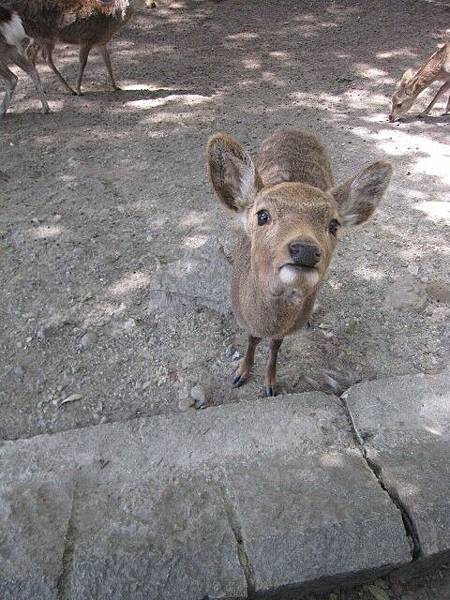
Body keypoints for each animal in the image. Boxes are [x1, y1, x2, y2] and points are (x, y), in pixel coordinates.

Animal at [3, 0, 148, 96]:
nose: (129, 5)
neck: (109, 21)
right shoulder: (86, 39)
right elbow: (83, 62)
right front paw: (79, 89)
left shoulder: (101, 43)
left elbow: (108, 62)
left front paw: (116, 86)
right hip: (46, 35)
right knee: (45, 57)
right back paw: (70, 90)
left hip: (38, 37)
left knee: (30, 52)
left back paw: (43, 88)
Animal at [208, 129, 394, 396]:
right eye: (262, 215)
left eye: (334, 224)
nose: (305, 250)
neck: (267, 322)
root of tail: (296, 130)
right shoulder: (244, 319)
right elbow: (252, 339)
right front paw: (241, 373)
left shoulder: (286, 329)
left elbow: (275, 346)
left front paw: (270, 384)